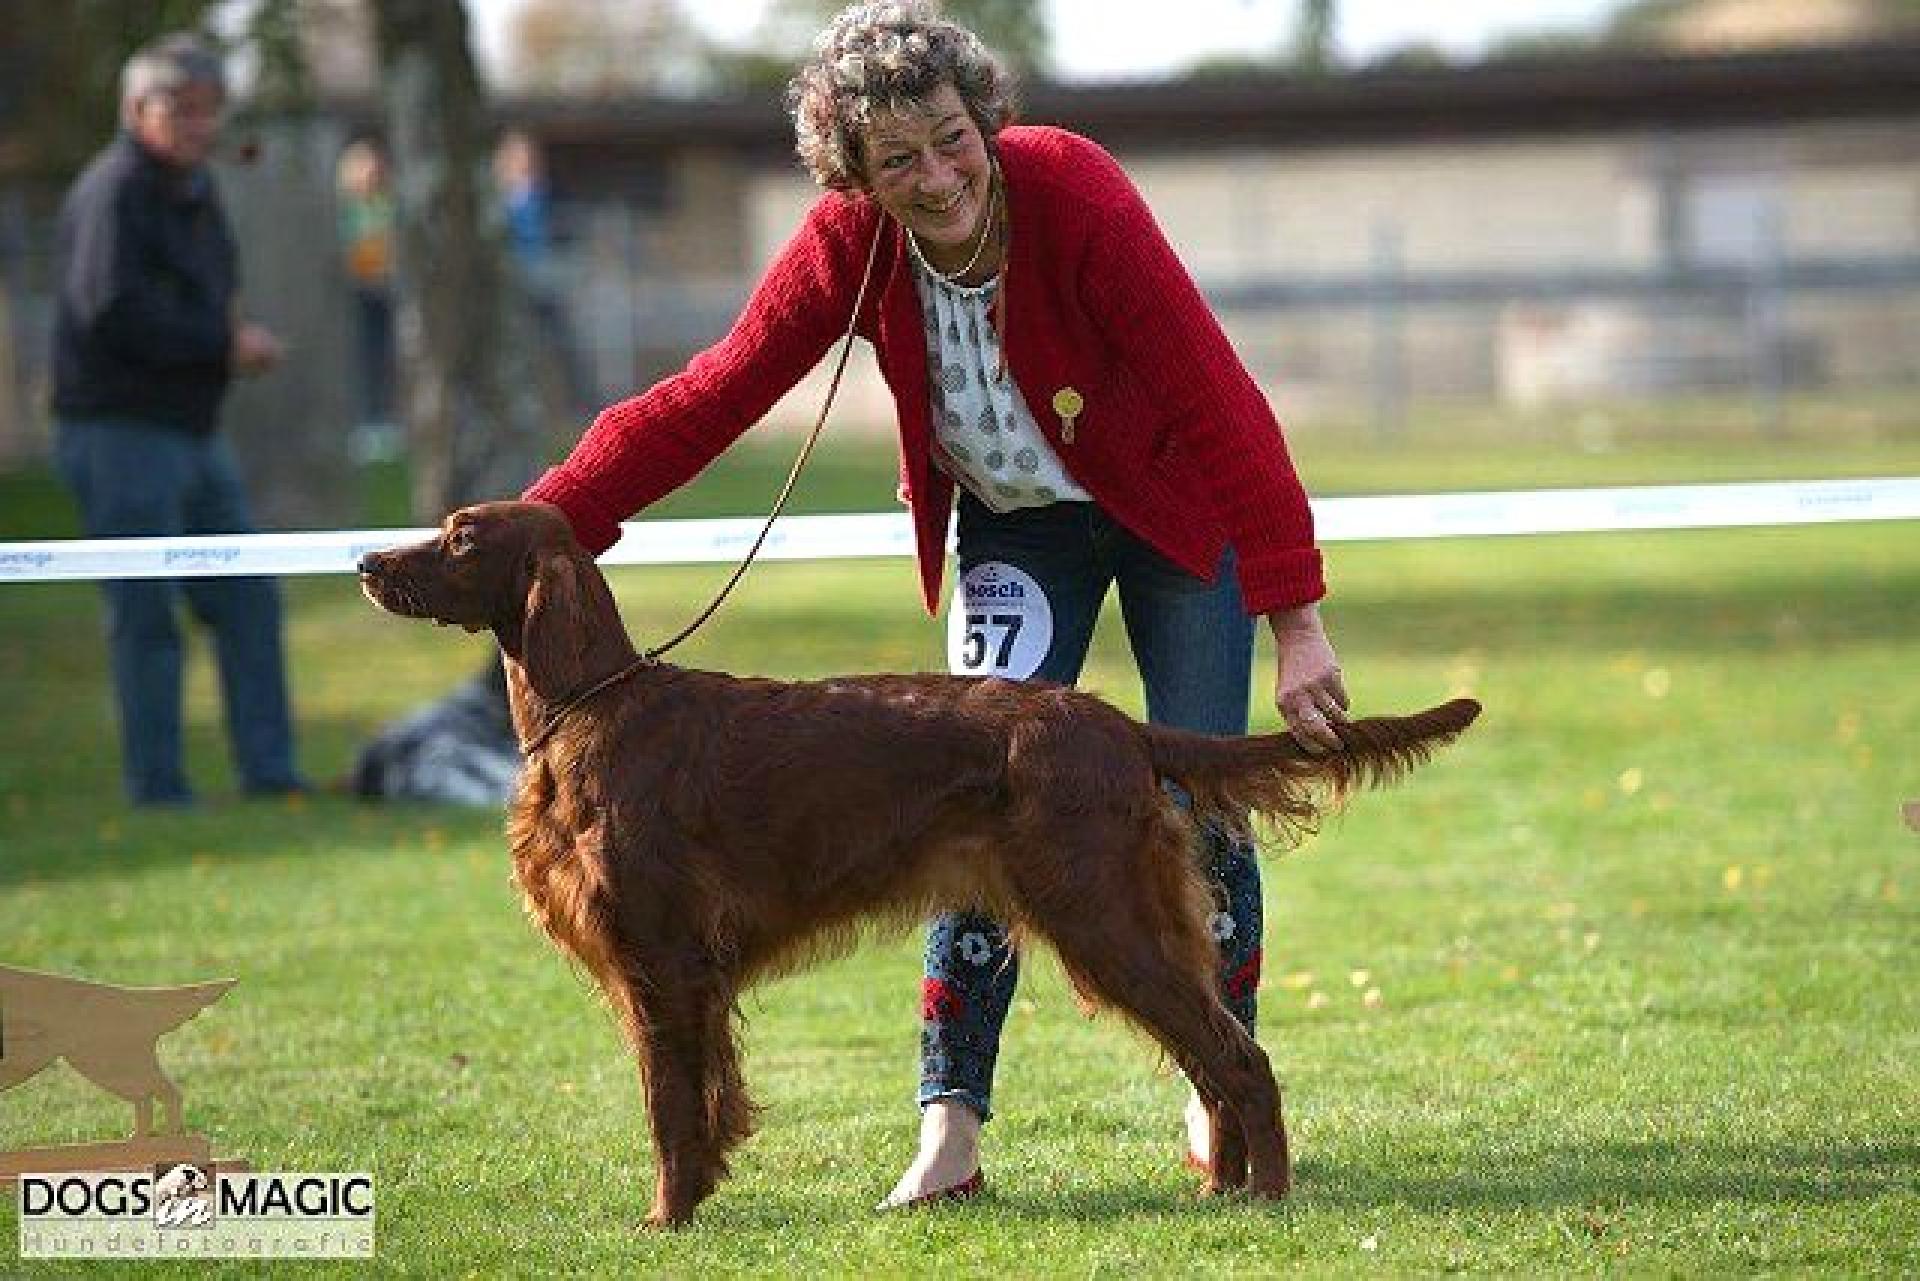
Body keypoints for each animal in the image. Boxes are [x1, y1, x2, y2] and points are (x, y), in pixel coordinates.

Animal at [357, 499, 1466, 1221]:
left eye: (460, 536)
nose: (366, 561)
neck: (593, 710)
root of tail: (1115, 724)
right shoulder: (682, 974)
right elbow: (702, 1102)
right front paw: (701, 1198)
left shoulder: (661, 957)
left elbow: (669, 1107)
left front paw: (665, 1221)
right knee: (1215, 1053)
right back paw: (1227, 1190)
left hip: (1104, 916)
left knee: (1240, 1057)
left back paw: (1268, 1198)